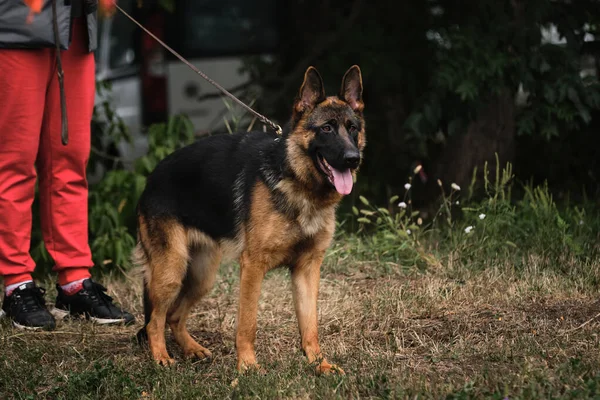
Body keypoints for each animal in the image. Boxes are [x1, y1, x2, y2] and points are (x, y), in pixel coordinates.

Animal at [134, 64, 366, 374]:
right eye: (326, 128)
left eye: (353, 129)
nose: (353, 159)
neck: (296, 180)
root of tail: (151, 178)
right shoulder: (253, 267)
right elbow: (247, 323)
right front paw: (247, 367)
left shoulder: (307, 269)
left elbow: (310, 325)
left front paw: (319, 363)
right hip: (172, 270)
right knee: (154, 320)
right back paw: (161, 356)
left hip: (201, 276)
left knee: (173, 316)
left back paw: (192, 349)